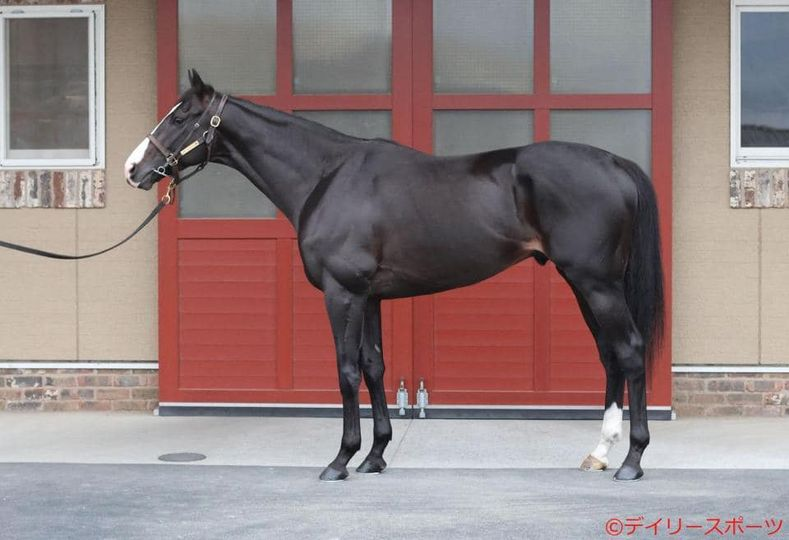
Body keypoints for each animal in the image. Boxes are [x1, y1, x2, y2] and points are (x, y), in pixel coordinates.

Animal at [126, 70, 664, 482]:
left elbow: (345, 371)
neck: (327, 176)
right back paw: (600, 454)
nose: (134, 169)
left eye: (179, 117)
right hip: (585, 284)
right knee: (610, 357)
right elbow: (374, 366)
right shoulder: (370, 297)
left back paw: (632, 461)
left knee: (629, 351)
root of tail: (615, 163)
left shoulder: (342, 293)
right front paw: (375, 456)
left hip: (596, 283)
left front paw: (340, 460)